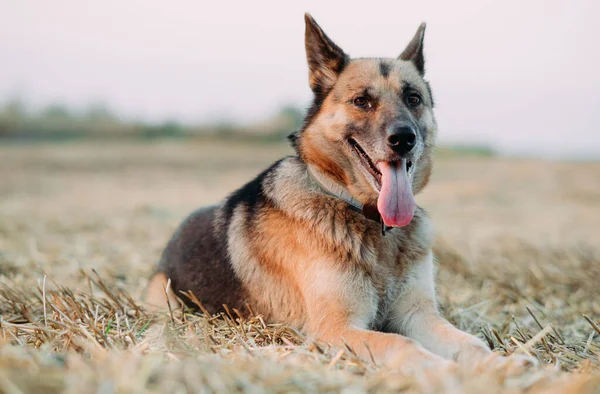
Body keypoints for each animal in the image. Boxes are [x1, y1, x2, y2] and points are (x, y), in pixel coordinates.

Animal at [146, 13, 536, 372]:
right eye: (362, 101)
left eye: (413, 98)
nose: (404, 139)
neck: (365, 217)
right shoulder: (337, 330)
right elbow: (403, 345)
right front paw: (447, 373)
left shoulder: (419, 316)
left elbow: (471, 343)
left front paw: (502, 366)